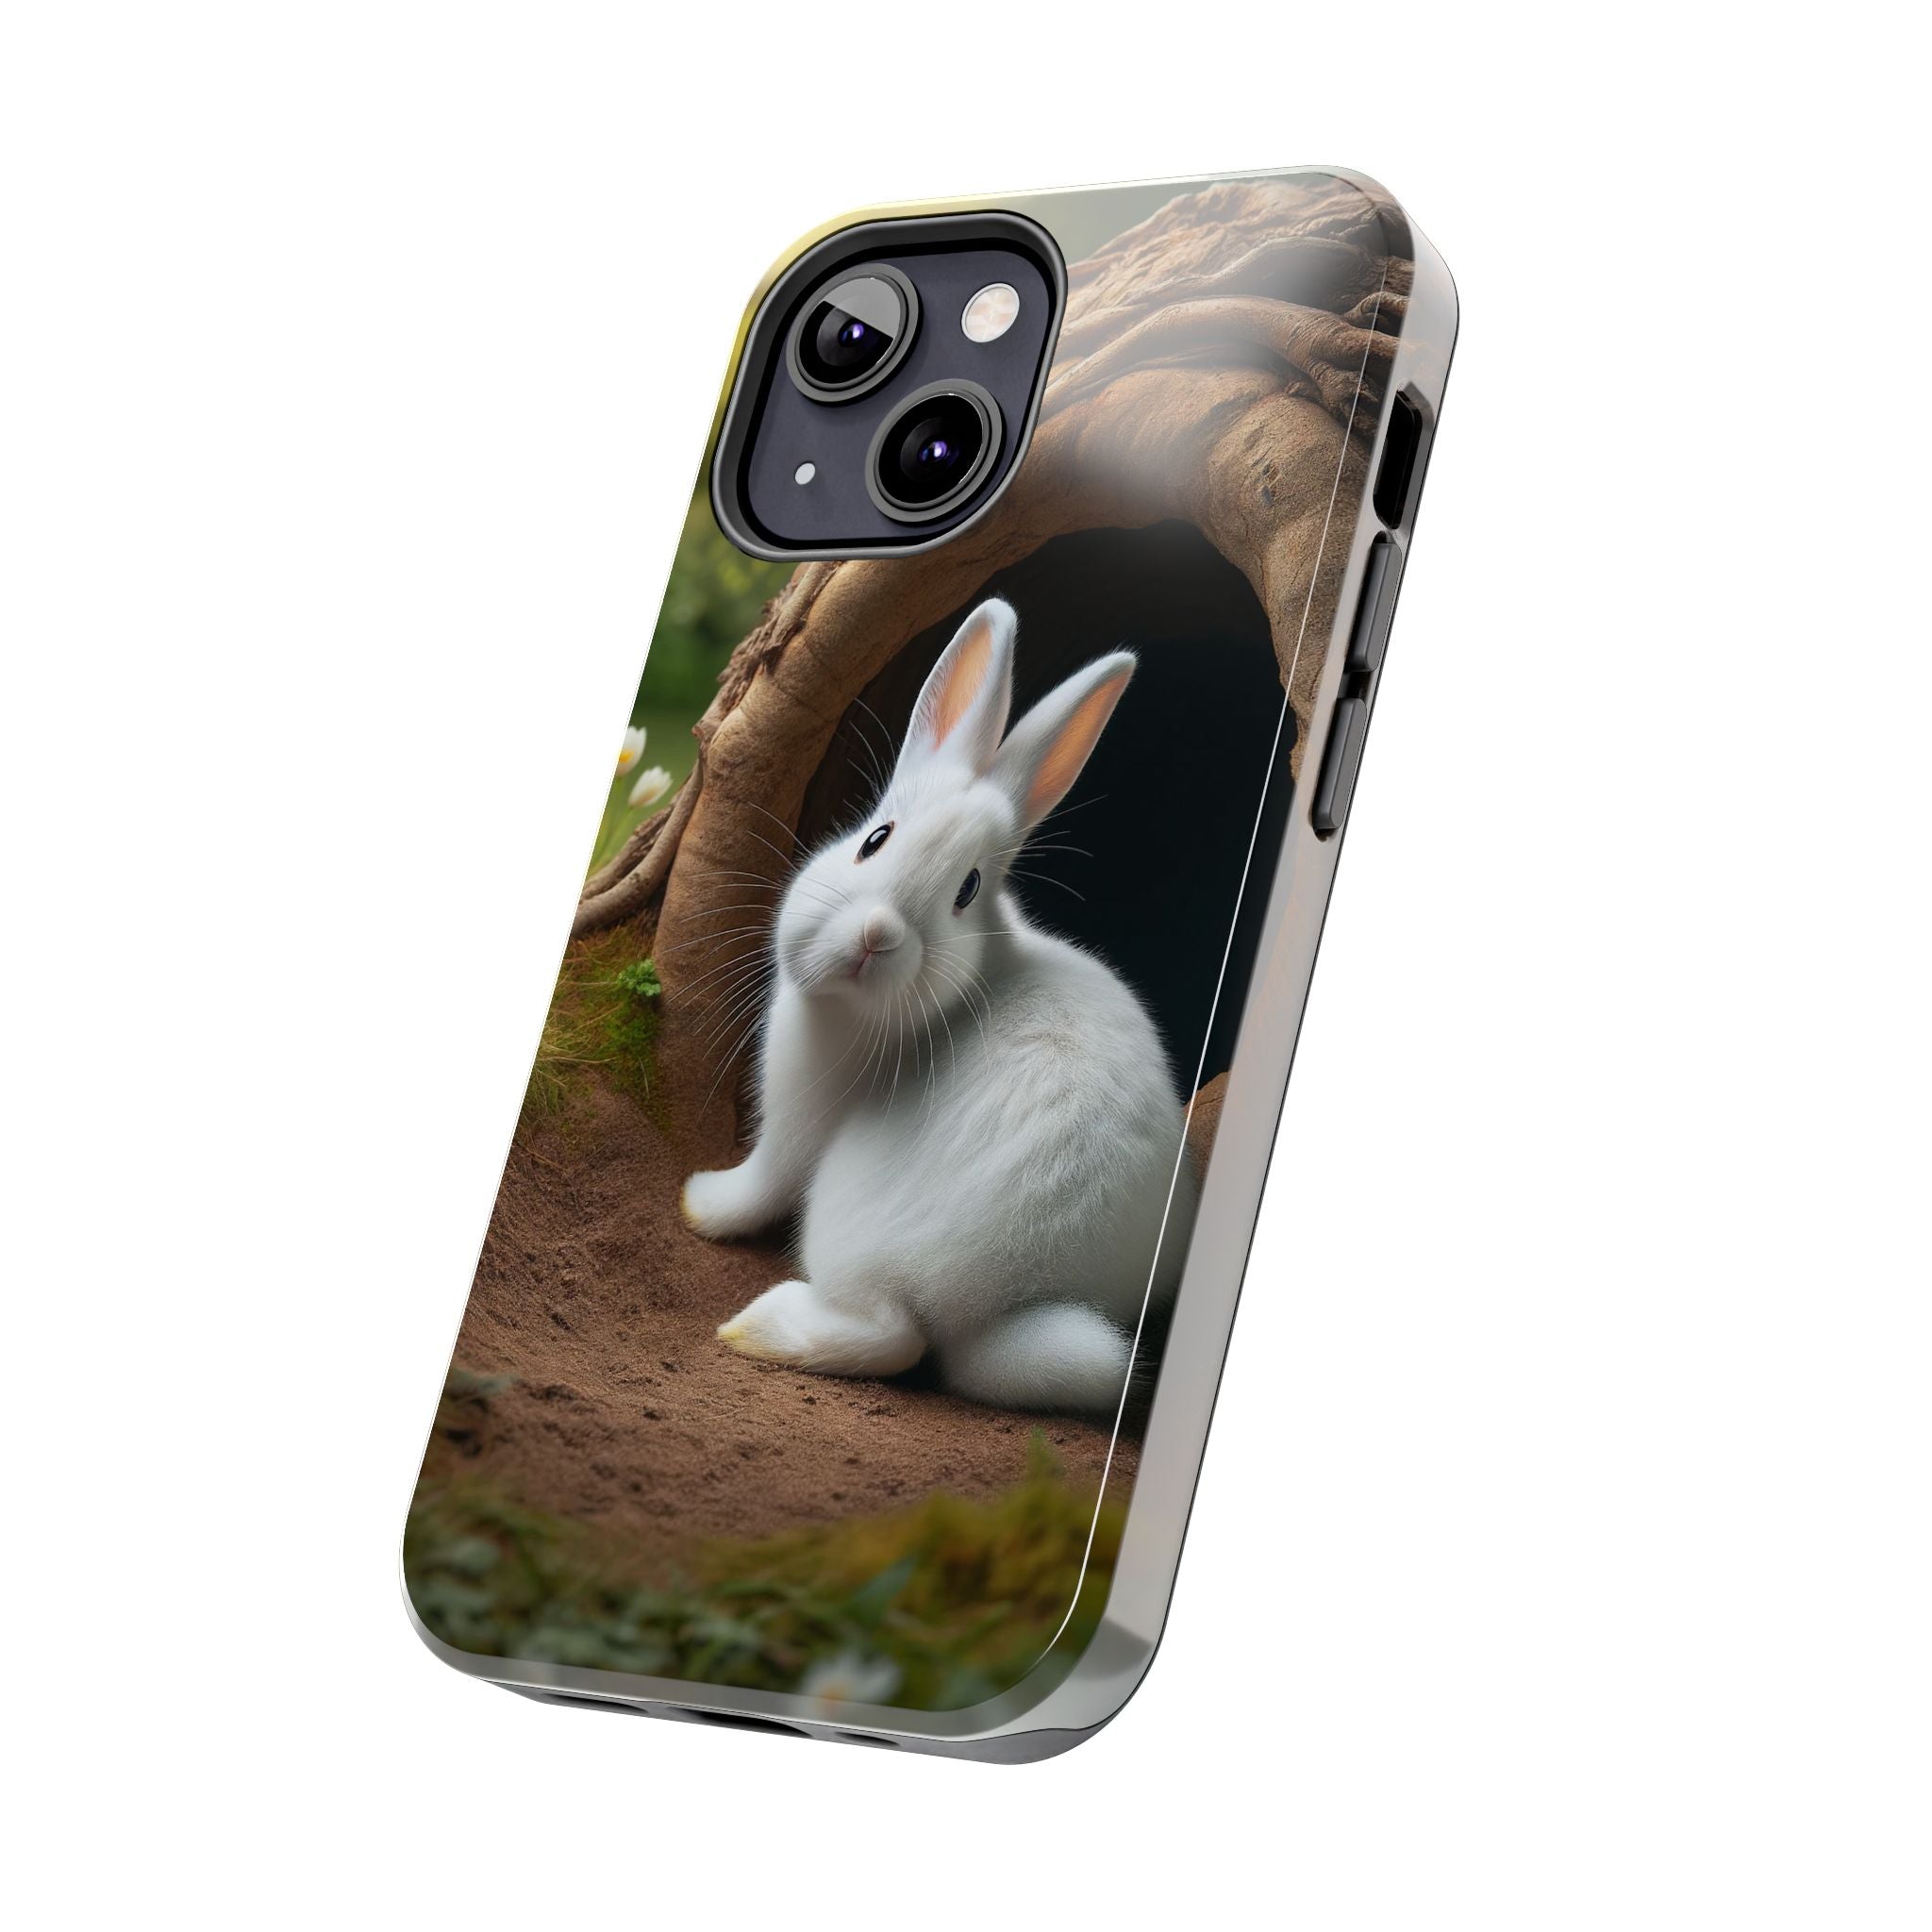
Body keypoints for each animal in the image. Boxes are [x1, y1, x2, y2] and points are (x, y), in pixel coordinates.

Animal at [681, 596, 1198, 1414]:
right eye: (874, 839)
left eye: (967, 890)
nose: (876, 936)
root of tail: (990, 1307)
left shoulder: (796, 1123)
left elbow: (760, 1183)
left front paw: (700, 1201)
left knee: (891, 1336)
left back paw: (755, 1327)